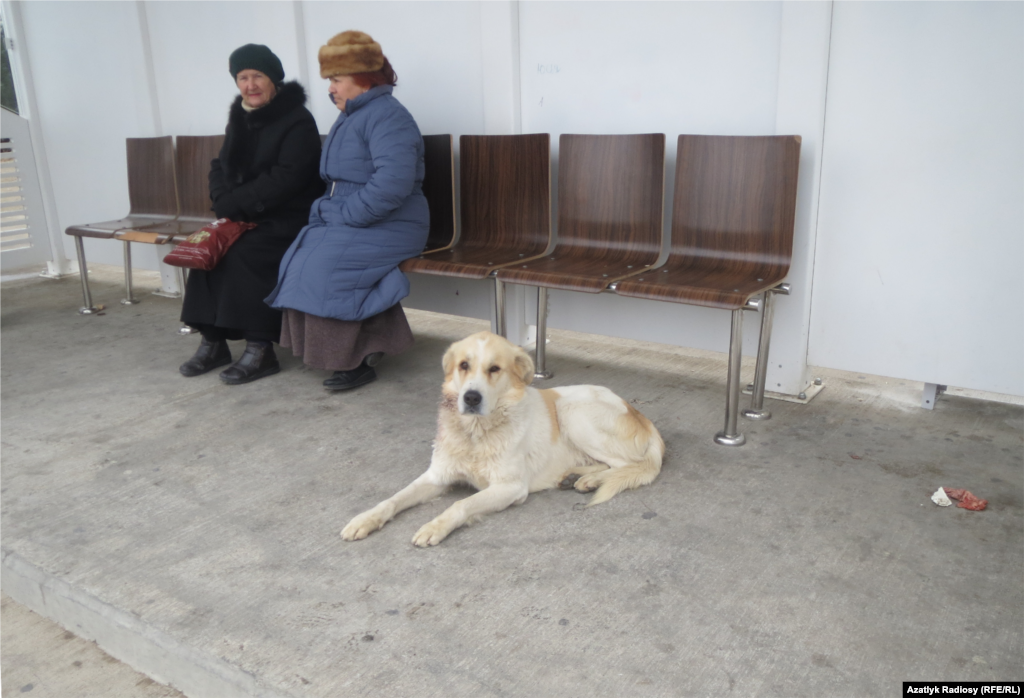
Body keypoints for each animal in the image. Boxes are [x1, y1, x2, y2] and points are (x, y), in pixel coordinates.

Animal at [339, 329, 667, 544]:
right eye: (464, 365)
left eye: (494, 369)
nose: (471, 398)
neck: (475, 434)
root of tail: (642, 416)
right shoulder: (437, 476)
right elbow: (393, 499)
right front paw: (365, 519)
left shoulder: (509, 488)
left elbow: (460, 505)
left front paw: (434, 526)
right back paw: (576, 476)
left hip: (573, 412)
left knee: (628, 465)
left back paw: (589, 480)